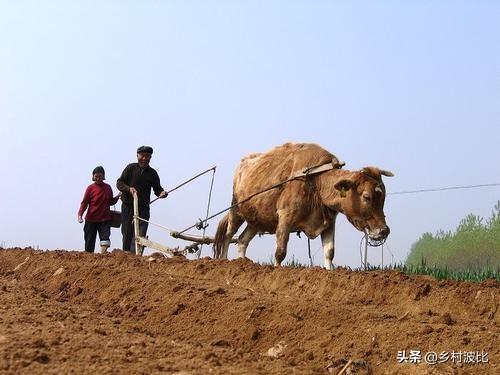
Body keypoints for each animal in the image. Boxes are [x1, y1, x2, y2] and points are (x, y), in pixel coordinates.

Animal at [213, 142, 392, 268]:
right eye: (367, 196)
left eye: (383, 197)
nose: (384, 230)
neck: (315, 180)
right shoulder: (285, 217)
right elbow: (280, 252)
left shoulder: (329, 223)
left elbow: (329, 252)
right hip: (236, 209)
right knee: (228, 234)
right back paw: (224, 261)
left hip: (256, 220)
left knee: (242, 240)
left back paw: (243, 263)